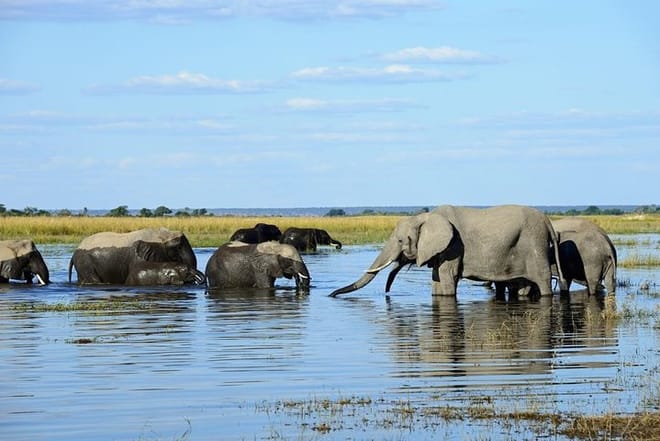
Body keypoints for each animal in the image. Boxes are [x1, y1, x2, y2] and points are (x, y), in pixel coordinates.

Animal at [330, 204, 564, 297]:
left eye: (400, 241)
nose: (330, 294)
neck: (425, 217)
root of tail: (547, 221)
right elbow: (437, 280)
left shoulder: (454, 246)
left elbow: (447, 277)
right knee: (524, 284)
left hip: (534, 243)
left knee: (542, 281)